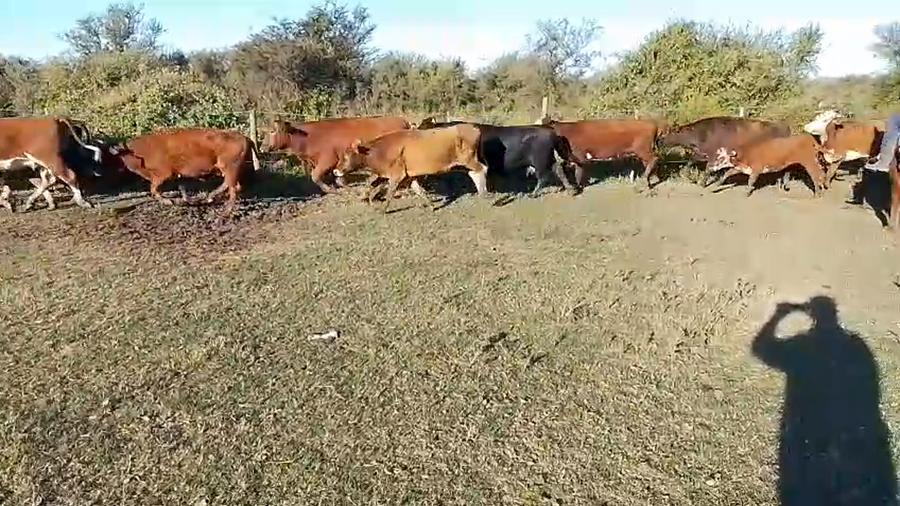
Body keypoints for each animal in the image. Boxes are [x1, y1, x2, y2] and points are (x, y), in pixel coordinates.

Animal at [101, 128, 259, 209]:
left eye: (117, 157)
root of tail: (245, 137)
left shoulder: (163, 174)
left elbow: (153, 189)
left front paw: (169, 201)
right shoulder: (177, 175)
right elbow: (180, 187)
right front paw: (185, 200)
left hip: (229, 167)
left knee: (234, 187)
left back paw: (227, 208)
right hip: (226, 168)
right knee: (230, 185)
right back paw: (210, 198)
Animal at [262, 116, 411, 194]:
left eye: (272, 131)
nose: (263, 146)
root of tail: (401, 119)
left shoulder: (328, 160)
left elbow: (315, 176)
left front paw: (329, 189)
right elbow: (339, 178)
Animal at [333, 123, 487, 213]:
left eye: (346, 157)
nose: (335, 170)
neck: (379, 151)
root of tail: (472, 127)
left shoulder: (396, 174)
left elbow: (390, 192)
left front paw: (383, 210)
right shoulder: (408, 176)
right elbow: (418, 190)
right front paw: (430, 206)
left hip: (468, 160)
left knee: (481, 169)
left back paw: (484, 194)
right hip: (461, 164)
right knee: (475, 172)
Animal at [416, 117, 579, 196]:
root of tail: (550, 131)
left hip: (540, 160)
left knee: (544, 176)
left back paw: (533, 194)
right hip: (547, 158)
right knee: (558, 170)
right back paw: (571, 190)